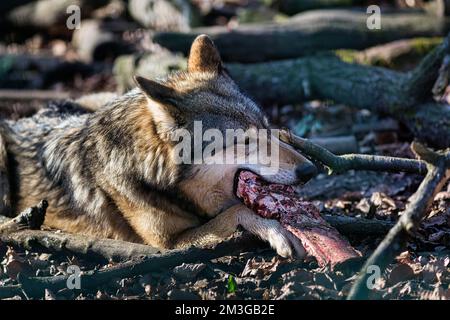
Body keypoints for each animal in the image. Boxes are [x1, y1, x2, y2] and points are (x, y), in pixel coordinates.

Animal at [0, 35, 316, 258]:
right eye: (245, 141)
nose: (310, 171)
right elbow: (236, 211)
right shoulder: (170, 243)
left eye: (268, 127)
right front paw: (279, 231)